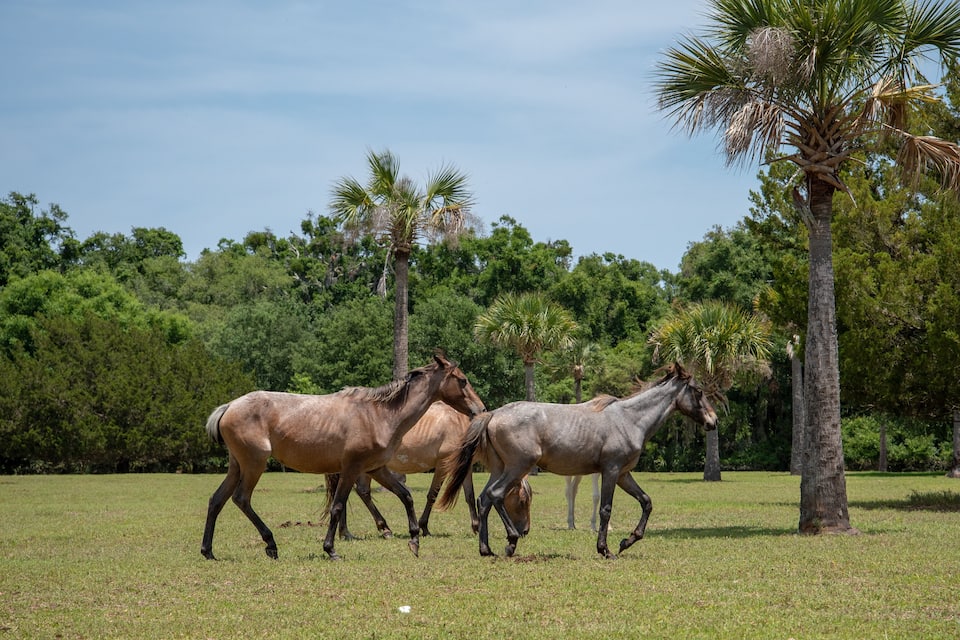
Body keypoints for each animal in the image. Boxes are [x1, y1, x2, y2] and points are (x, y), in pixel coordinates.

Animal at [200, 354, 484, 561]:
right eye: (462, 380)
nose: (480, 409)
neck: (378, 414)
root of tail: (229, 406)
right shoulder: (351, 468)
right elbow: (337, 506)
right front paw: (330, 549)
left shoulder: (376, 469)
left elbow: (406, 495)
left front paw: (414, 539)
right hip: (254, 465)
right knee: (241, 498)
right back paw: (270, 544)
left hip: (237, 466)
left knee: (217, 500)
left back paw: (208, 551)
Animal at [331, 401, 533, 539]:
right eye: (522, 501)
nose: (525, 531)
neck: (462, 425)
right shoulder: (443, 465)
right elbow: (433, 495)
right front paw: (424, 526)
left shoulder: (465, 468)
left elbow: (469, 496)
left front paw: (476, 526)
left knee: (359, 492)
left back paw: (354, 531)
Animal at [437, 363, 717, 559]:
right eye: (699, 391)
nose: (713, 421)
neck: (629, 419)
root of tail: (493, 415)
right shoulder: (611, 471)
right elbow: (605, 509)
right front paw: (606, 550)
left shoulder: (624, 474)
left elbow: (646, 502)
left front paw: (627, 541)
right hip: (518, 467)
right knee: (495, 495)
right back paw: (511, 541)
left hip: (500, 469)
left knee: (484, 499)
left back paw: (486, 550)